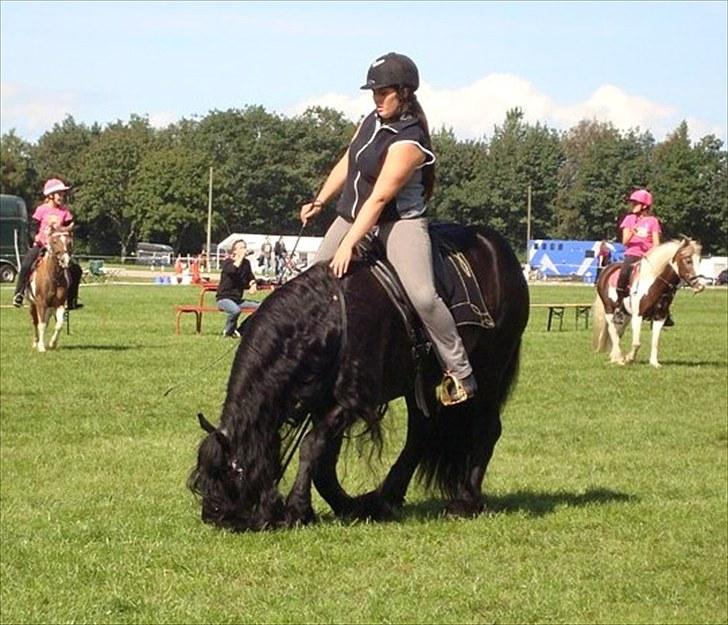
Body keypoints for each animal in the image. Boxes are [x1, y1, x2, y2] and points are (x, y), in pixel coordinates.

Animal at [188, 224, 528, 532]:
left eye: (231, 472)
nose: (214, 516)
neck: (330, 316)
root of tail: (499, 249)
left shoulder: (353, 399)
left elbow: (312, 447)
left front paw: (297, 509)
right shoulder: (323, 401)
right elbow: (324, 462)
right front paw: (347, 505)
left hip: (490, 368)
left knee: (487, 428)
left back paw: (465, 500)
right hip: (418, 382)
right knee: (421, 433)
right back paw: (385, 497)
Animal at [592, 238, 704, 366]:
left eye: (699, 260)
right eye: (688, 260)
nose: (700, 286)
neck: (654, 284)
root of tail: (607, 270)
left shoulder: (660, 317)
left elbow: (655, 341)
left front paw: (654, 363)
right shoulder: (638, 316)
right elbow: (637, 343)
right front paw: (629, 358)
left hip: (625, 315)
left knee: (618, 332)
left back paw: (614, 356)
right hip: (609, 310)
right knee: (612, 330)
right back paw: (619, 358)